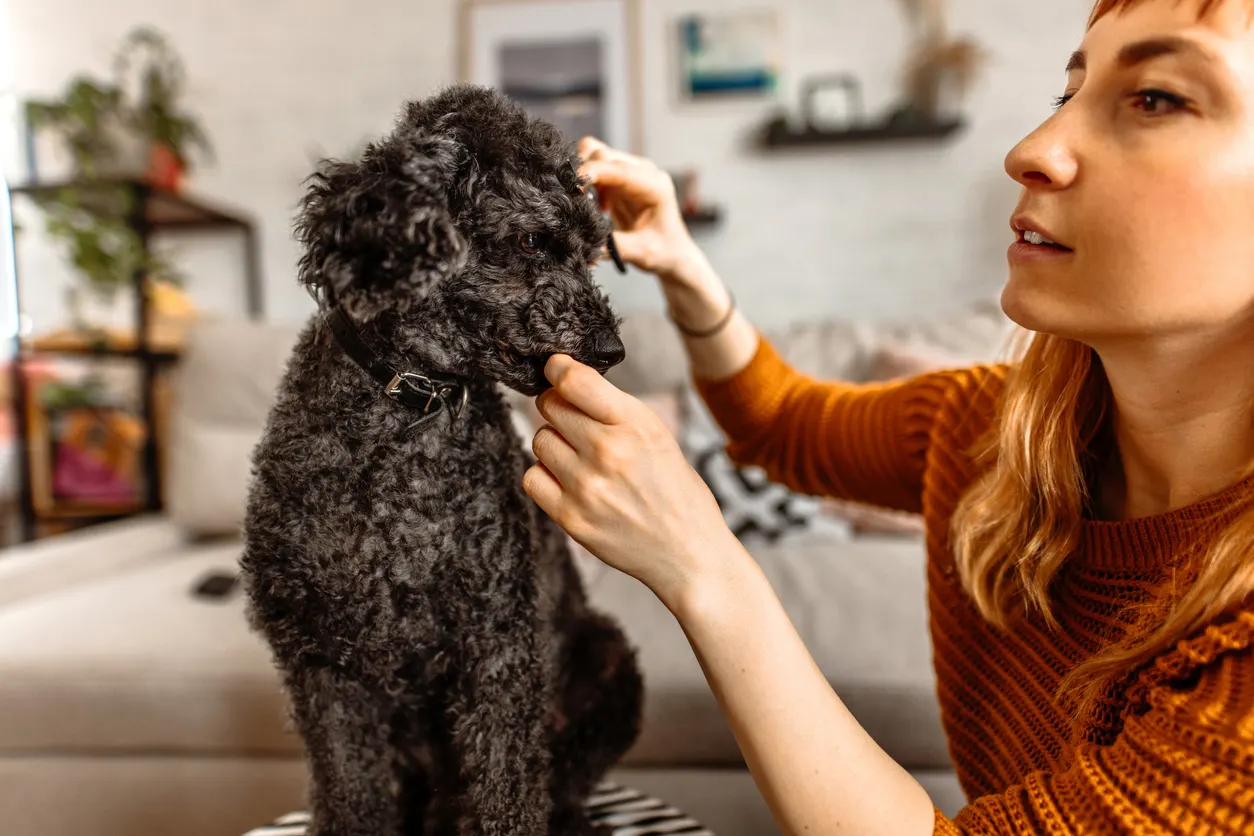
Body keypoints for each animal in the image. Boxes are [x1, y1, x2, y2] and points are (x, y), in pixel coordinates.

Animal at [239, 85, 642, 836]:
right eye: (529, 241)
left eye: (591, 252)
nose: (611, 352)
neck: (410, 413)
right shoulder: (321, 663)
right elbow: (350, 796)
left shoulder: (497, 645)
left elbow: (508, 793)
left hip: (607, 664)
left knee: (561, 779)